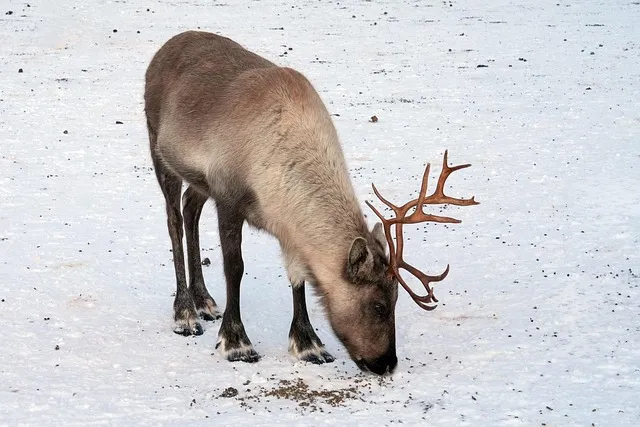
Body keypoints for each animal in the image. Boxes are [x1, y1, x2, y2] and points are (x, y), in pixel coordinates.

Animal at [144, 31, 478, 375]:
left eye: (397, 298)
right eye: (378, 305)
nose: (387, 363)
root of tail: (165, 47)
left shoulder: (286, 223)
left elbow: (298, 276)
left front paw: (308, 344)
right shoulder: (228, 198)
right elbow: (235, 268)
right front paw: (237, 343)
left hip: (199, 181)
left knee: (189, 207)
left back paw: (204, 301)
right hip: (159, 150)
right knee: (174, 220)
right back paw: (185, 313)